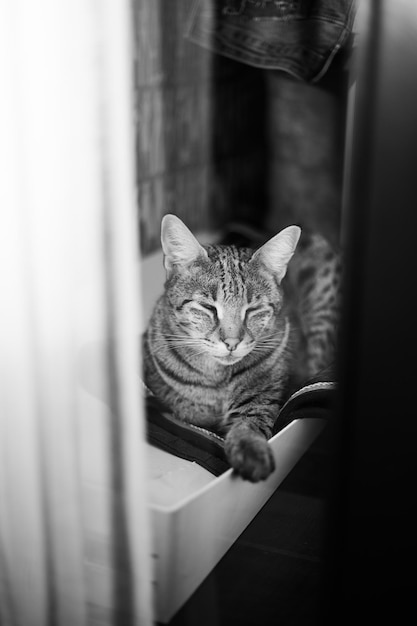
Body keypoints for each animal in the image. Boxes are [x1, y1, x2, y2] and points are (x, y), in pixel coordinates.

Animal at [143, 212, 338, 480]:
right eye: (208, 307)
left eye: (253, 310)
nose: (232, 342)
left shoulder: (261, 400)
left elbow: (250, 424)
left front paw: (250, 450)